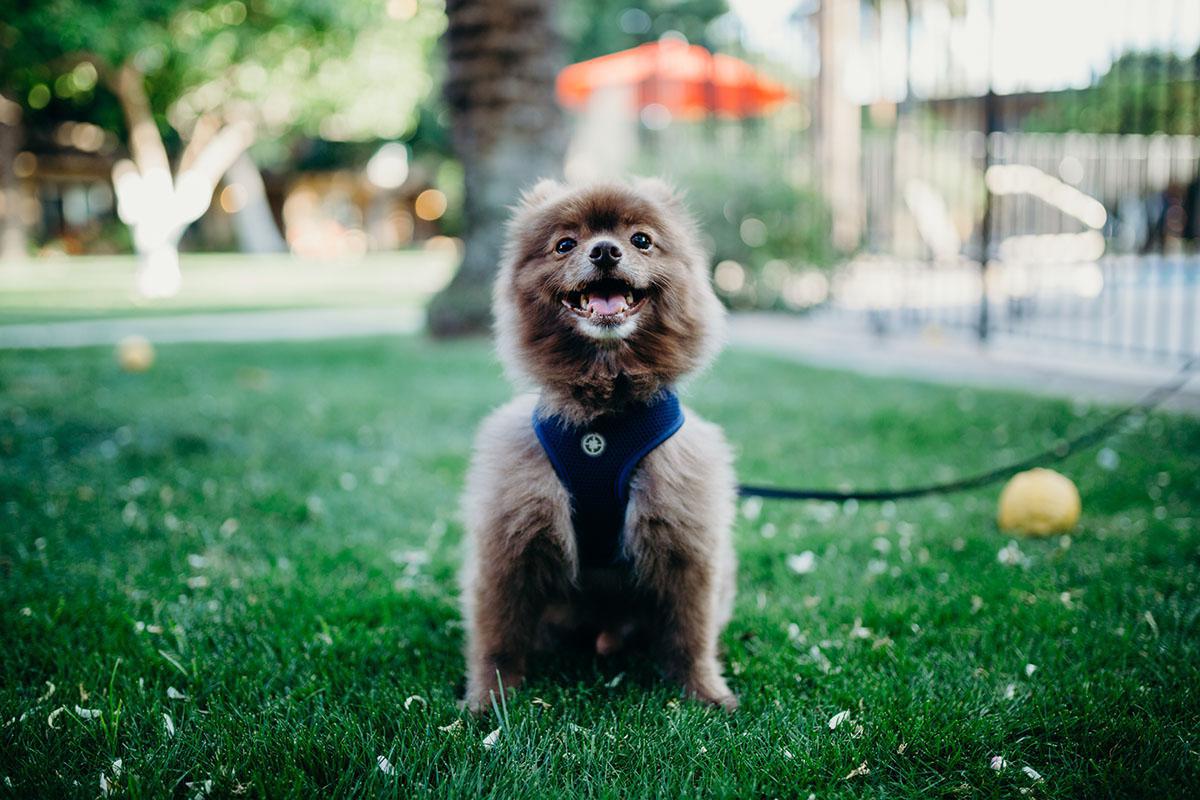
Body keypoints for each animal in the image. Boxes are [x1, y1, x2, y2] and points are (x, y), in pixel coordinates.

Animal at [460, 178, 734, 710]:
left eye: (641, 240)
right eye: (565, 244)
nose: (605, 250)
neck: (603, 420)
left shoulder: (685, 539)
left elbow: (690, 634)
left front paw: (704, 692)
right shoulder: (511, 537)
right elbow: (498, 636)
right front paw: (489, 699)